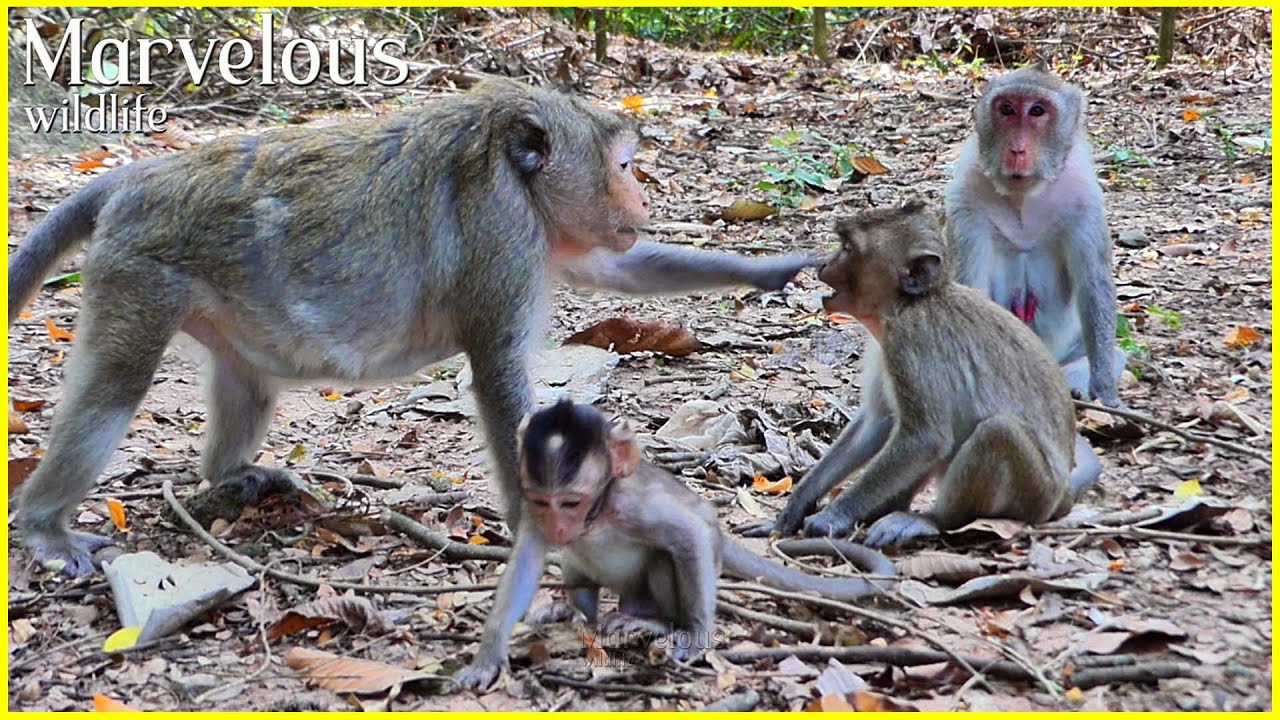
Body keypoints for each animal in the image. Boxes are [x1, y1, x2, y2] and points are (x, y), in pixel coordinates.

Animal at [7, 78, 818, 577]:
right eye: (622, 165)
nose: (642, 199)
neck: (509, 167)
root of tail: (138, 176)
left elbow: (620, 270)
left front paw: (776, 268)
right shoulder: (504, 234)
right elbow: (498, 372)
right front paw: (540, 535)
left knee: (249, 380)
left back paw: (230, 473)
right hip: (141, 273)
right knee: (112, 389)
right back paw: (44, 522)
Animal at [452, 398, 896, 691]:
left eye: (571, 503)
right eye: (544, 502)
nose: (560, 529)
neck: (598, 511)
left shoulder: (634, 505)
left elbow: (690, 533)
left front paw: (696, 635)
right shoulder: (532, 510)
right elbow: (526, 562)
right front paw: (488, 655)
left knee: (668, 557)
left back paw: (654, 621)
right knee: (578, 568)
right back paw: (574, 612)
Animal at [749, 201, 1100, 542]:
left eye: (847, 248)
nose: (824, 264)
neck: (907, 304)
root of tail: (1062, 496)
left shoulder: (908, 341)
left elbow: (925, 438)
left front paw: (832, 517)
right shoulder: (883, 346)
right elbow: (877, 423)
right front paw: (797, 505)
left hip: (1035, 493)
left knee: (997, 431)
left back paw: (931, 520)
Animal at [945, 64, 1125, 407]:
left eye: (1037, 111)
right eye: (1007, 110)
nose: (1017, 149)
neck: (1024, 197)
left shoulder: (1084, 198)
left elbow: (1093, 286)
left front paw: (1105, 390)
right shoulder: (966, 197)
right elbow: (969, 284)